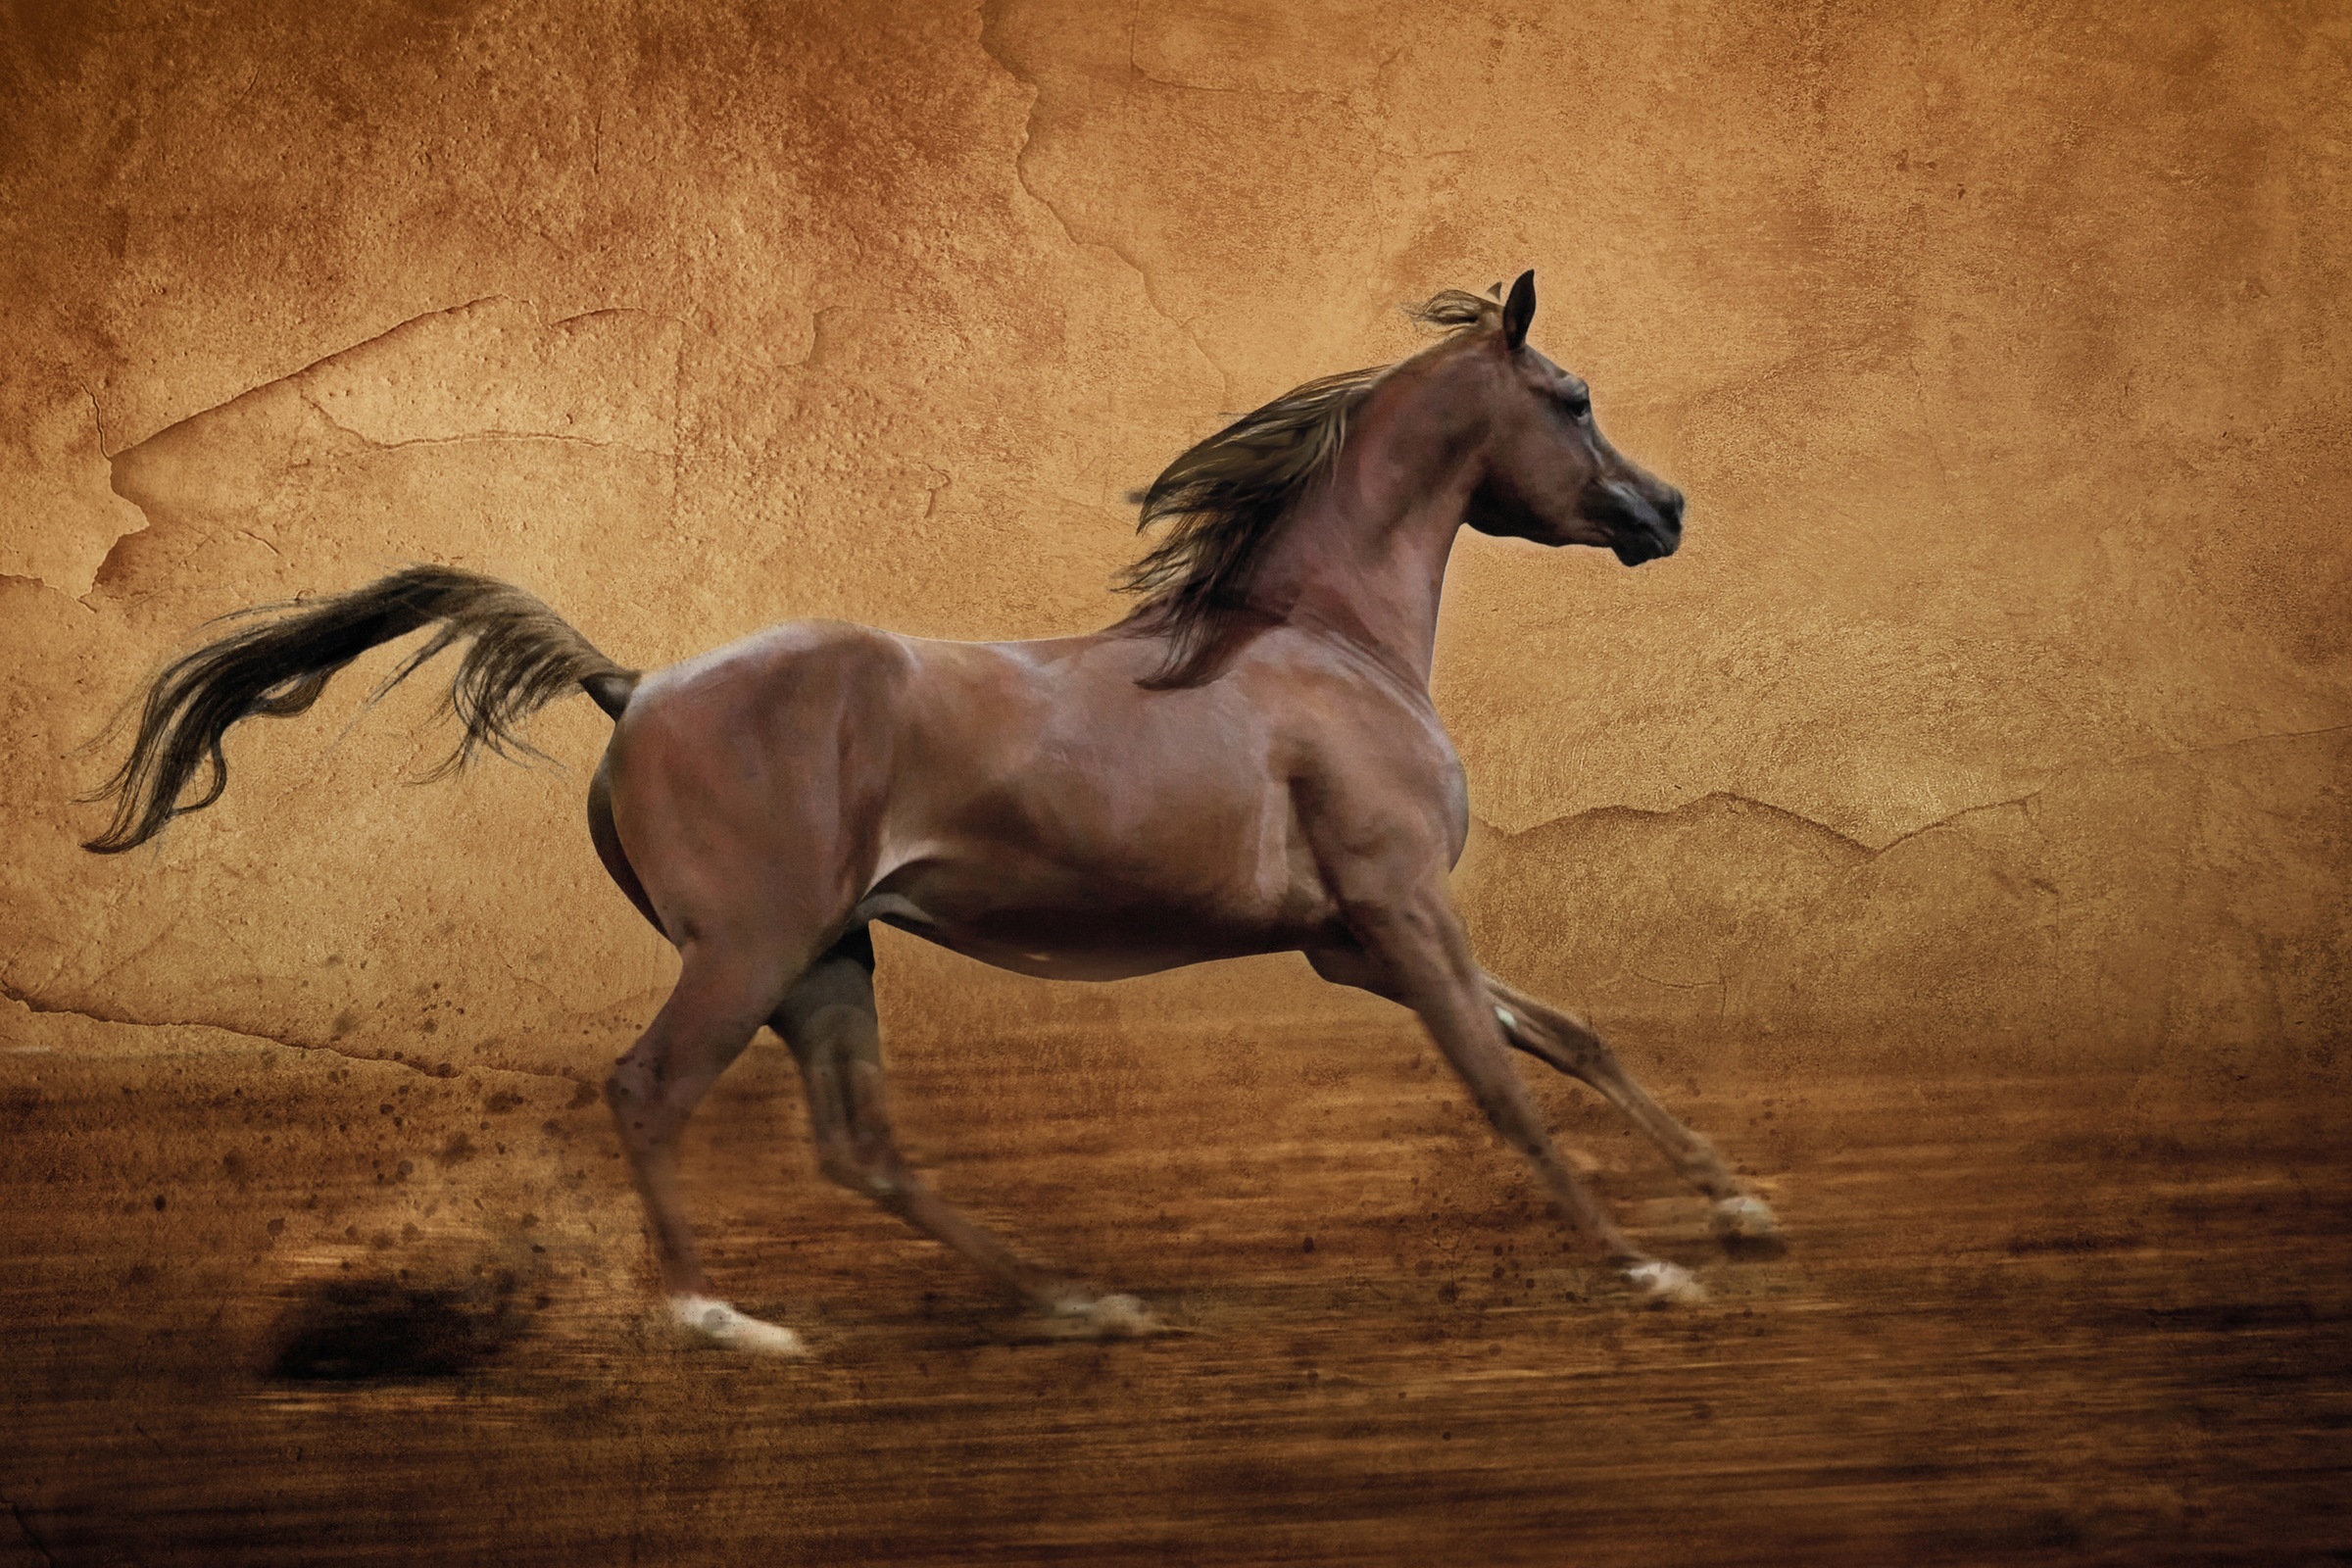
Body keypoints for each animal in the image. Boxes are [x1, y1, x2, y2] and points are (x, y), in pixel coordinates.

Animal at [85, 271, 1777, 1355]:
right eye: (1569, 397)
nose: (1668, 511)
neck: (1318, 641)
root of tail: (633, 686)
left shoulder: (1353, 937)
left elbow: (1571, 1038)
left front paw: (1742, 1209)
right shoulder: (1398, 908)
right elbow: (1498, 1082)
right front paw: (1643, 1269)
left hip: (832, 957)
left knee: (861, 1148)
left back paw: (1079, 1300)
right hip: (752, 951)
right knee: (651, 1092)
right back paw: (723, 1319)